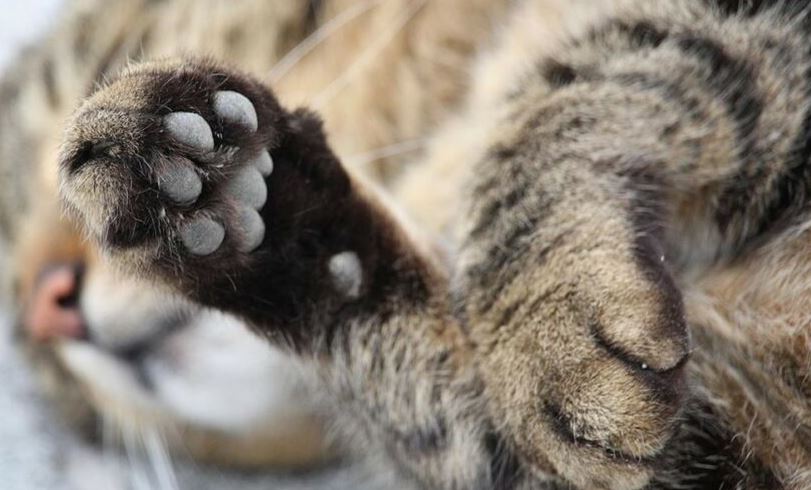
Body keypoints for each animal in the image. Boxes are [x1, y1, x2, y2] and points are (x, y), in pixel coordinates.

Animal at [6, 0, 811, 488]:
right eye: (52, 384)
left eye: (99, 66)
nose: (47, 308)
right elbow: (454, 431)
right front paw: (276, 224)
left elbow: (600, 64)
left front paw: (544, 324)